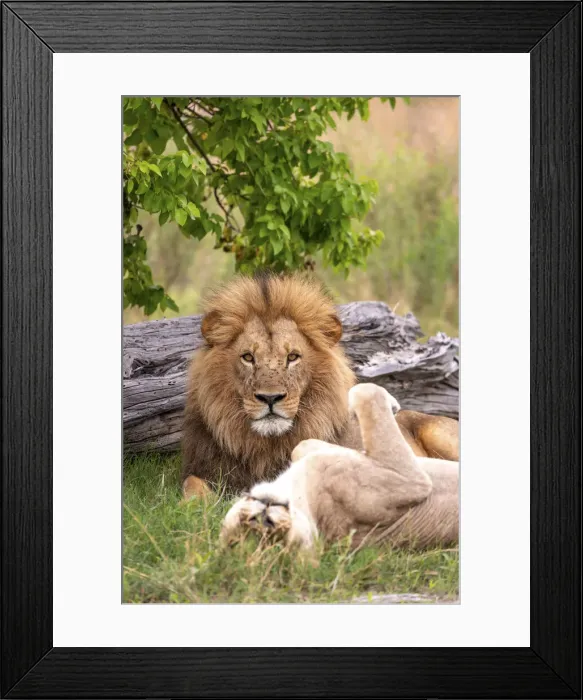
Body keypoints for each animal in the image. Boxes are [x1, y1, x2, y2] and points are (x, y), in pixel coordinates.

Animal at [220, 383, 459, 551]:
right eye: (266, 528)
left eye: (247, 518)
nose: (263, 515)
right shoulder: (410, 480)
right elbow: (366, 392)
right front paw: (390, 405)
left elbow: (303, 444)